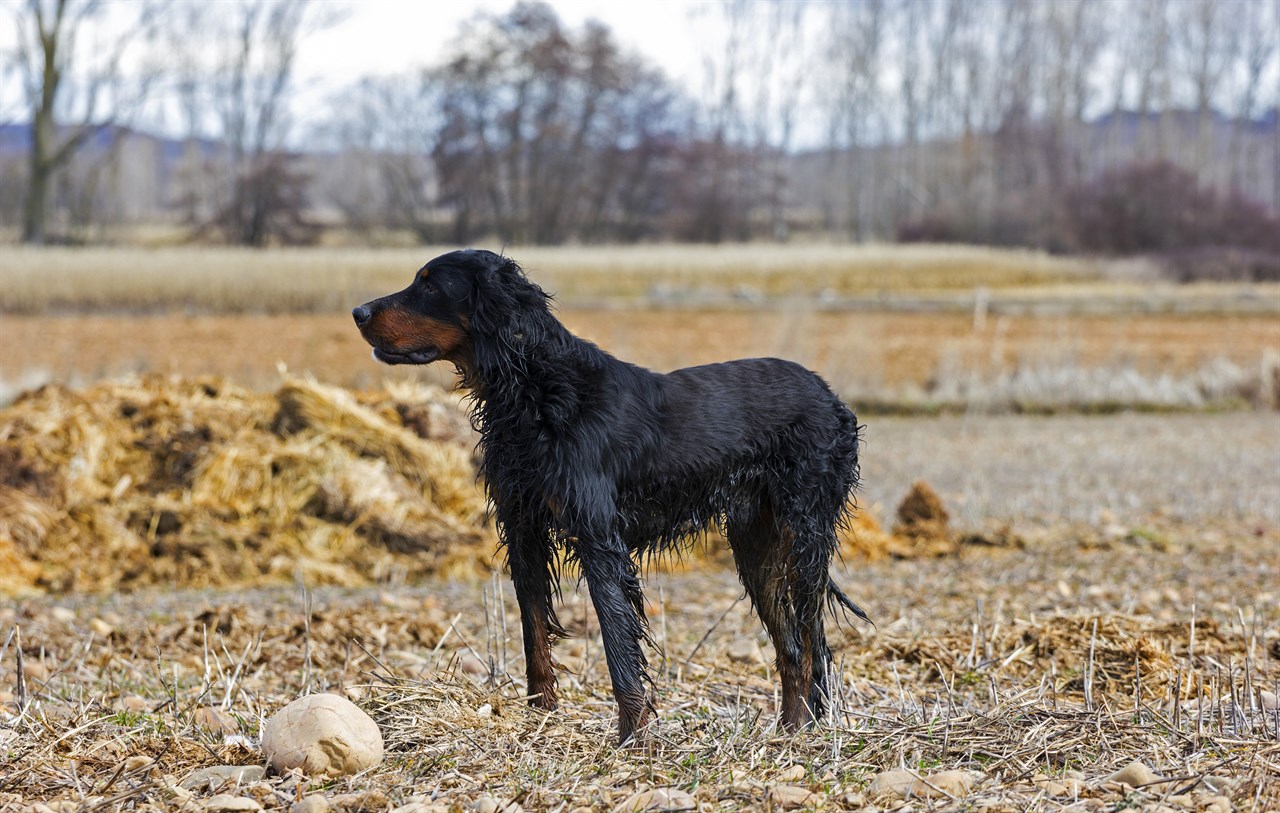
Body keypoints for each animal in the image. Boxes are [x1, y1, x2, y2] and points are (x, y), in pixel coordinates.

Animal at [355, 249, 865, 742]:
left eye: (430, 286)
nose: (358, 312)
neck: (538, 391)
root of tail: (830, 395)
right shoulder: (523, 529)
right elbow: (534, 632)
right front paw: (541, 718)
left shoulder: (599, 538)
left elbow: (617, 642)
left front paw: (632, 737)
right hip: (756, 542)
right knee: (793, 646)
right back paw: (791, 733)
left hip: (804, 534)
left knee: (808, 640)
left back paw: (800, 733)